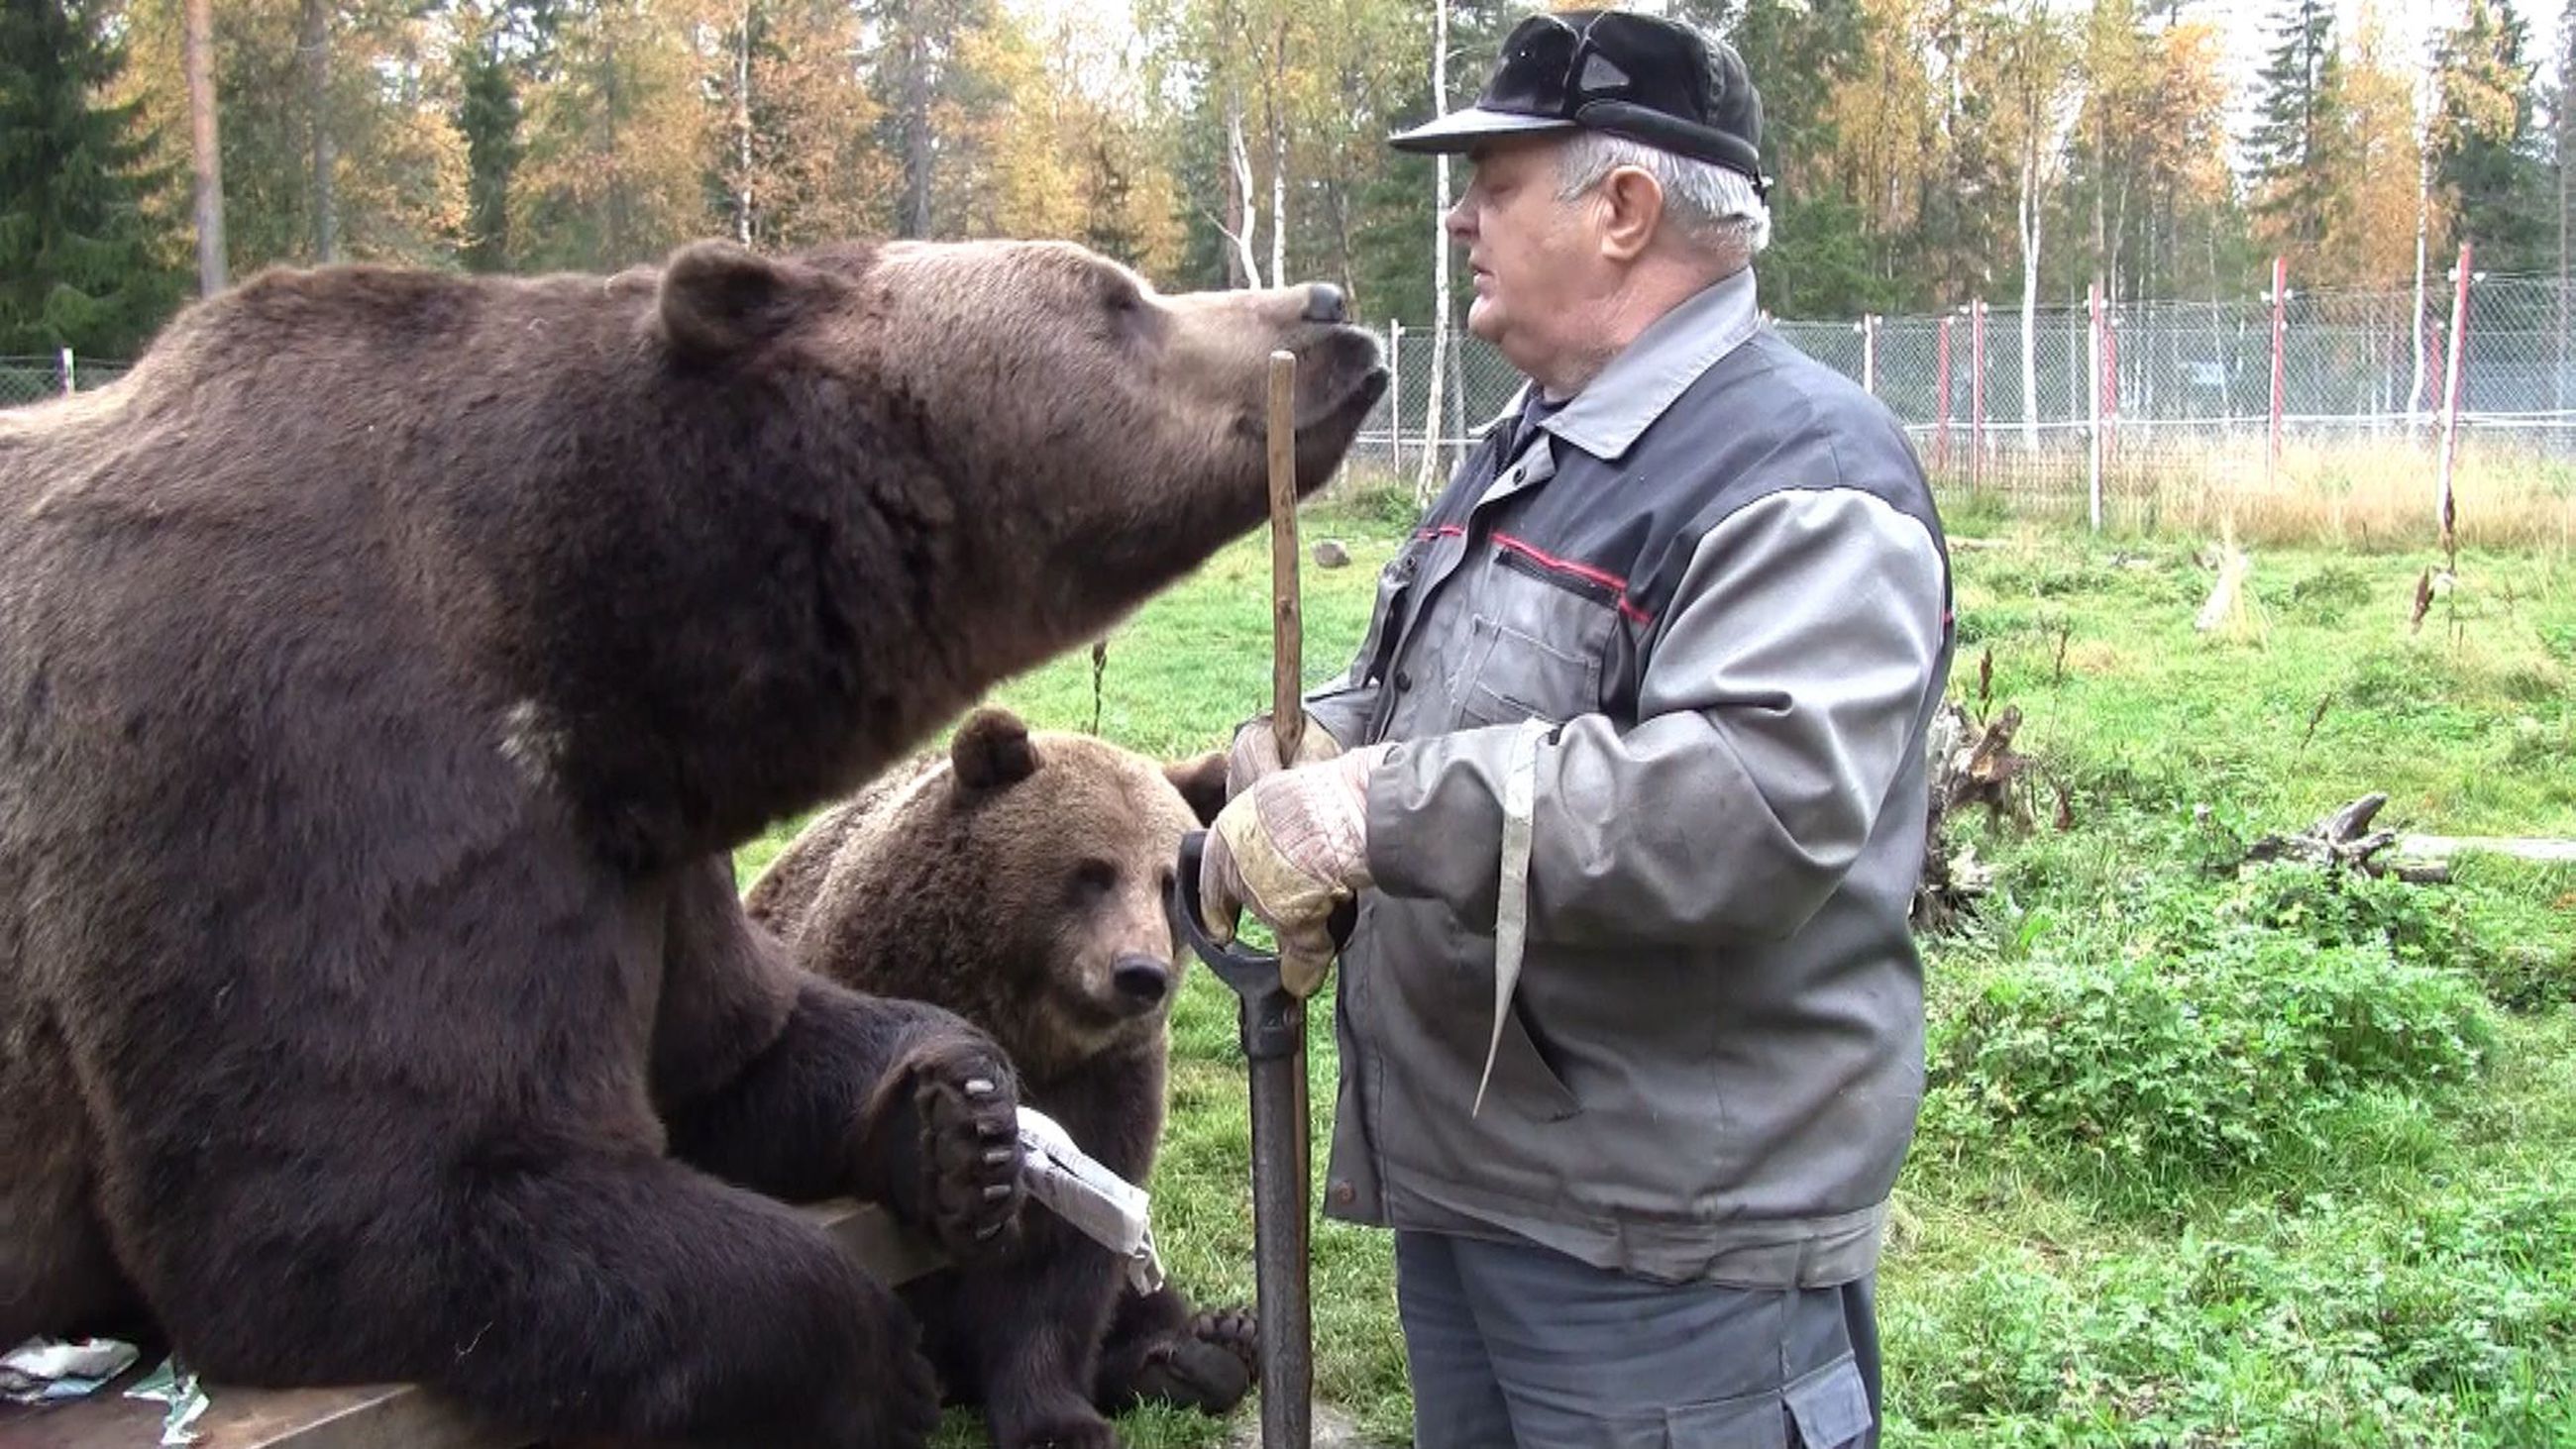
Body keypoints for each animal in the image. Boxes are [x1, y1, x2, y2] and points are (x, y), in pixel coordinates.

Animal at [747, 710, 1246, 1449]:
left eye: (1165, 882)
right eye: (1093, 872)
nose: (1141, 973)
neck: (1028, 1026)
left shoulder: (1109, 1085)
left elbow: (1065, 1263)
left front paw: (1060, 1419)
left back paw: (1206, 1348)